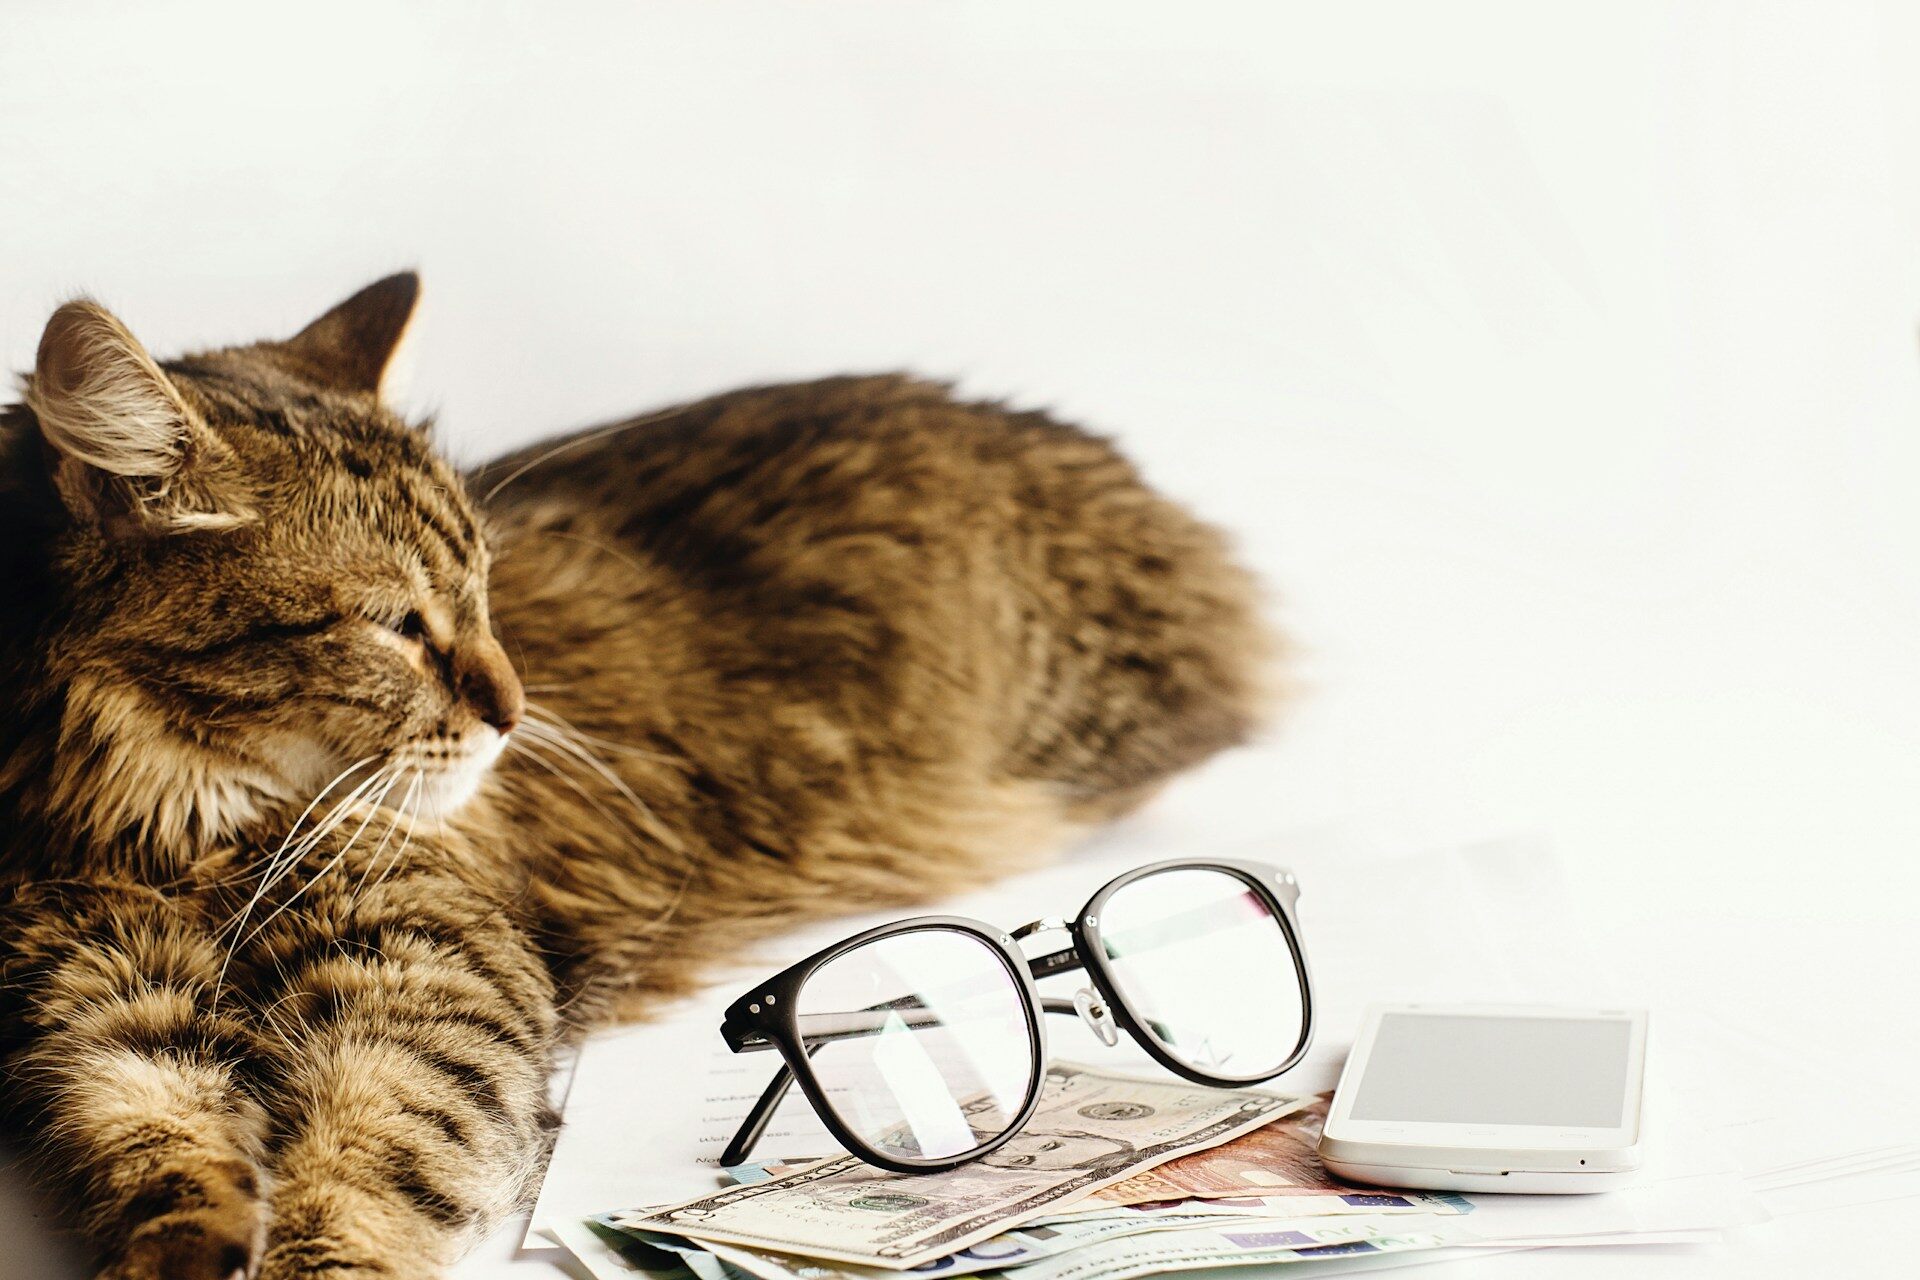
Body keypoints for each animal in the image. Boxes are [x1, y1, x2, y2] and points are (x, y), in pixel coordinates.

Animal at [0, 276, 1274, 1274]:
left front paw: (312, 1257)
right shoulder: (100, 1013)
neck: (162, 830)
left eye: (481, 589)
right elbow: (161, 1160)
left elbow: (372, 1162)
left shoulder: (427, 979)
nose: (514, 712)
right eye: (394, 624)